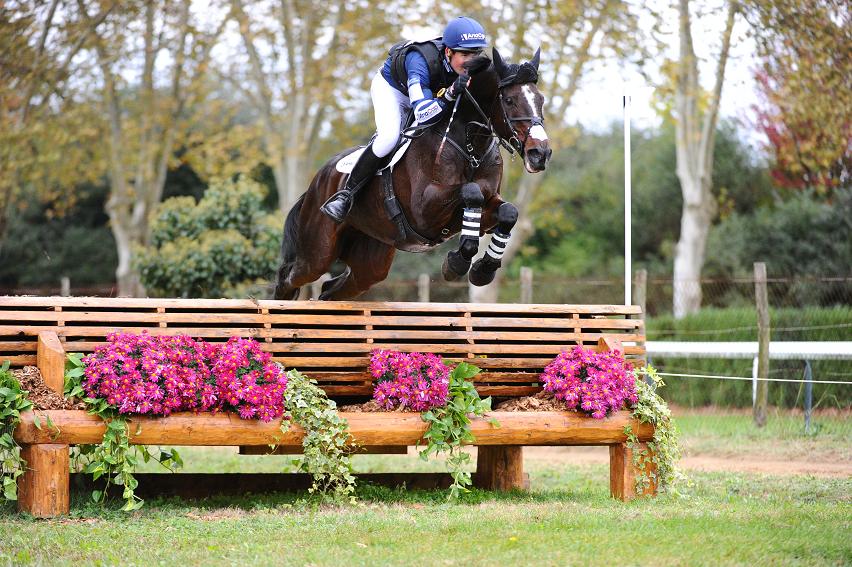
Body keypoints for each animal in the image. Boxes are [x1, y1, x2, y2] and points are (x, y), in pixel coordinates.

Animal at [272, 48, 552, 302]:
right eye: (509, 100)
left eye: (541, 100)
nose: (540, 153)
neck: (470, 145)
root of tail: (316, 181)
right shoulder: (424, 211)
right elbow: (471, 192)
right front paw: (457, 263)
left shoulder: (487, 204)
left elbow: (508, 212)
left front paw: (483, 270)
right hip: (318, 251)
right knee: (289, 277)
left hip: (370, 260)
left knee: (333, 288)